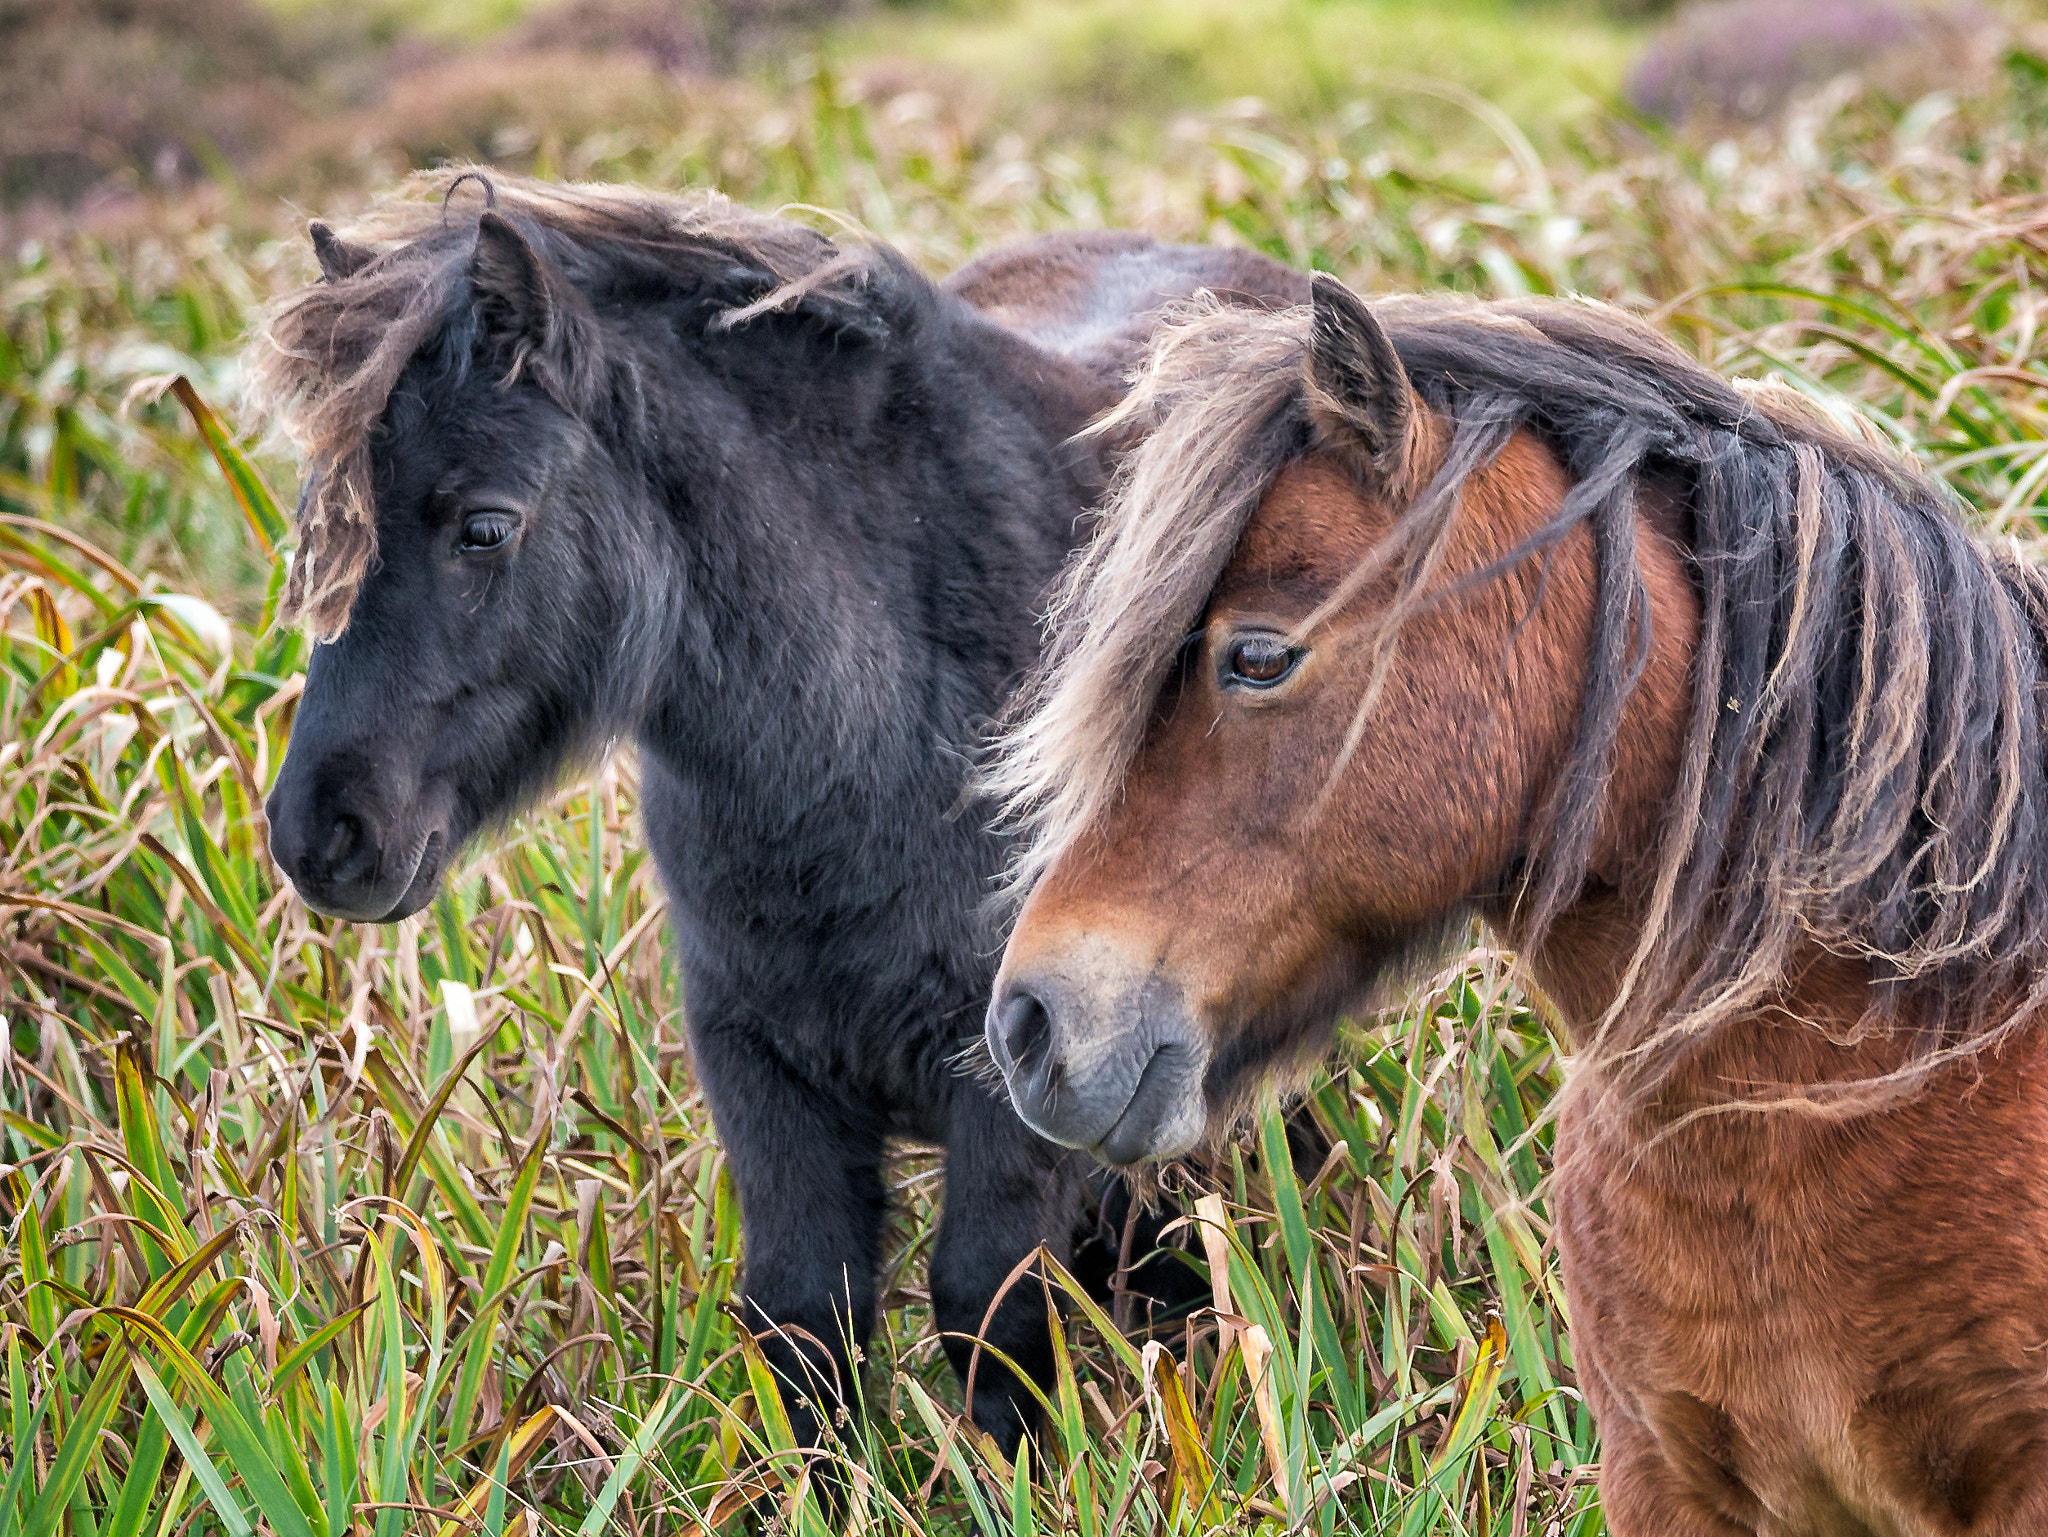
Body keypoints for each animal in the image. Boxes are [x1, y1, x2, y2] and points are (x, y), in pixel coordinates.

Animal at [251, 171, 1294, 1459]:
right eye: (324, 524)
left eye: (484, 525)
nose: (321, 834)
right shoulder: (758, 1065)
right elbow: (804, 1318)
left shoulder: (1017, 1081)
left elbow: (989, 1310)